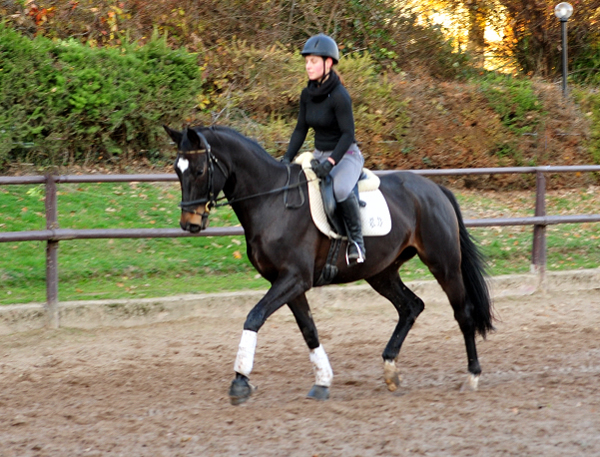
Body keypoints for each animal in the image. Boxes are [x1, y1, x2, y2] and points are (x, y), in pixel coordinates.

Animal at [163, 124, 492, 402]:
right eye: (177, 171)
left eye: (200, 170)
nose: (189, 224)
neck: (272, 201)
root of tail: (435, 189)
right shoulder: (288, 283)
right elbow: (309, 330)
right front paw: (322, 381)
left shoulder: (294, 278)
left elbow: (254, 317)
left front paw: (240, 381)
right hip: (381, 272)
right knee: (410, 306)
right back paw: (390, 370)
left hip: (443, 264)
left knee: (463, 313)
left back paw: (472, 376)